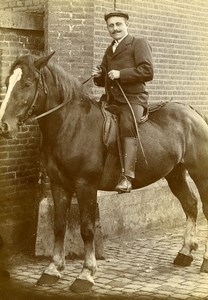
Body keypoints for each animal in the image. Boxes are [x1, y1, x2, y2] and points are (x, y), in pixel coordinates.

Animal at [0, 52, 208, 292]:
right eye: (7, 82)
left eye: (26, 83)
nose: (4, 126)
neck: (70, 125)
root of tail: (193, 112)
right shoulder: (58, 184)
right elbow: (59, 226)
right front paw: (52, 269)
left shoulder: (85, 186)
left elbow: (87, 229)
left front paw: (85, 274)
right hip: (175, 173)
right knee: (190, 204)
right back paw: (185, 252)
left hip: (200, 173)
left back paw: (204, 261)